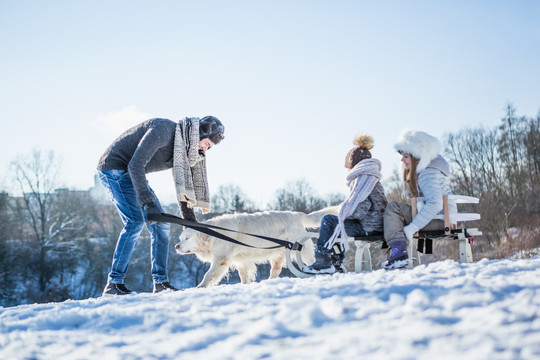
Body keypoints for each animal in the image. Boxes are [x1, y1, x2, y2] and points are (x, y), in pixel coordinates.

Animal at [173, 208, 336, 286]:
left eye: (187, 238)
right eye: (181, 238)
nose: (176, 246)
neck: (214, 234)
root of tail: (295, 214)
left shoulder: (220, 259)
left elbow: (208, 274)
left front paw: (200, 286)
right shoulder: (242, 260)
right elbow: (244, 275)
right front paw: (245, 285)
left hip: (301, 250)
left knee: (311, 261)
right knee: (275, 270)